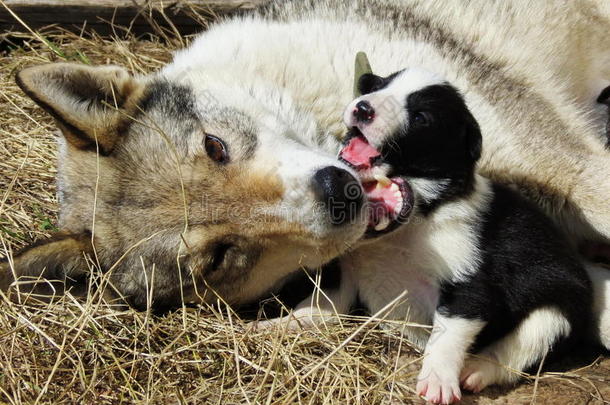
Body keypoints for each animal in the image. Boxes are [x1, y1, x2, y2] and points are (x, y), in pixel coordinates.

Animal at [258, 68, 608, 402]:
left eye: (420, 117)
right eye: (379, 86)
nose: (363, 107)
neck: (414, 222)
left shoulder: (469, 286)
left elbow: (446, 336)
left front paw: (438, 381)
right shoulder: (348, 275)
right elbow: (318, 305)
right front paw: (280, 324)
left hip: (557, 310)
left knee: (518, 350)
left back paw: (476, 370)